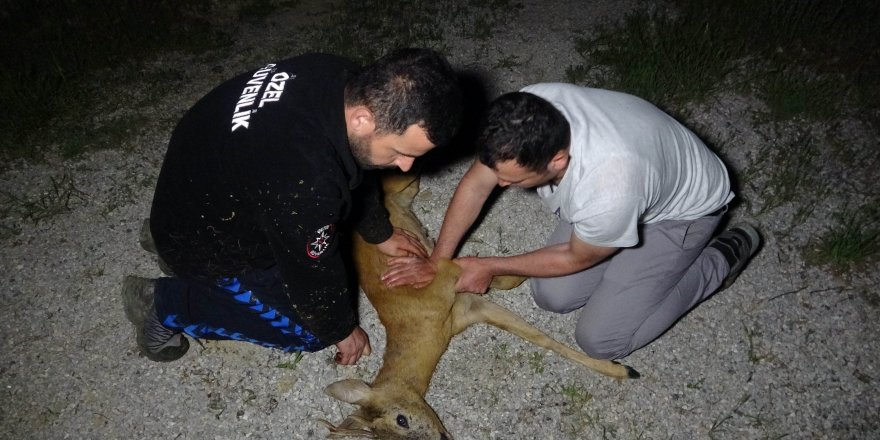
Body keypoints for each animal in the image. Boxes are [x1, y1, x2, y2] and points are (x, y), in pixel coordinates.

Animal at [320, 172, 636, 440]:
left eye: (402, 419)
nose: (442, 437)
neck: (426, 324)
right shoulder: (470, 309)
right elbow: (538, 336)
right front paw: (622, 369)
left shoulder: (444, 271)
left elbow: (504, 277)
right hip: (406, 193)